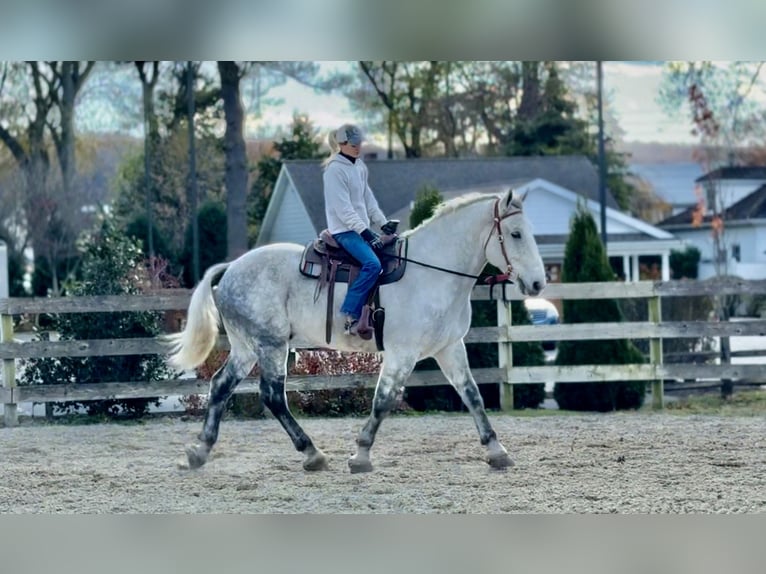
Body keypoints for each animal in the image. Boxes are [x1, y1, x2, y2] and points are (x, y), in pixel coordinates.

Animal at [166, 188, 547, 473]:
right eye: (515, 234)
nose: (538, 283)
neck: (431, 274)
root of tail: (231, 268)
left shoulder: (449, 348)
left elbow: (472, 395)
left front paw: (496, 451)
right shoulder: (402, 353)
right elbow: (383, 400)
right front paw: (361, 454)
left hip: (247, 348)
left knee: (220, 386)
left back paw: (200, 451)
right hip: (271, 346)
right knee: (272, 396)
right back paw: (312, 453)